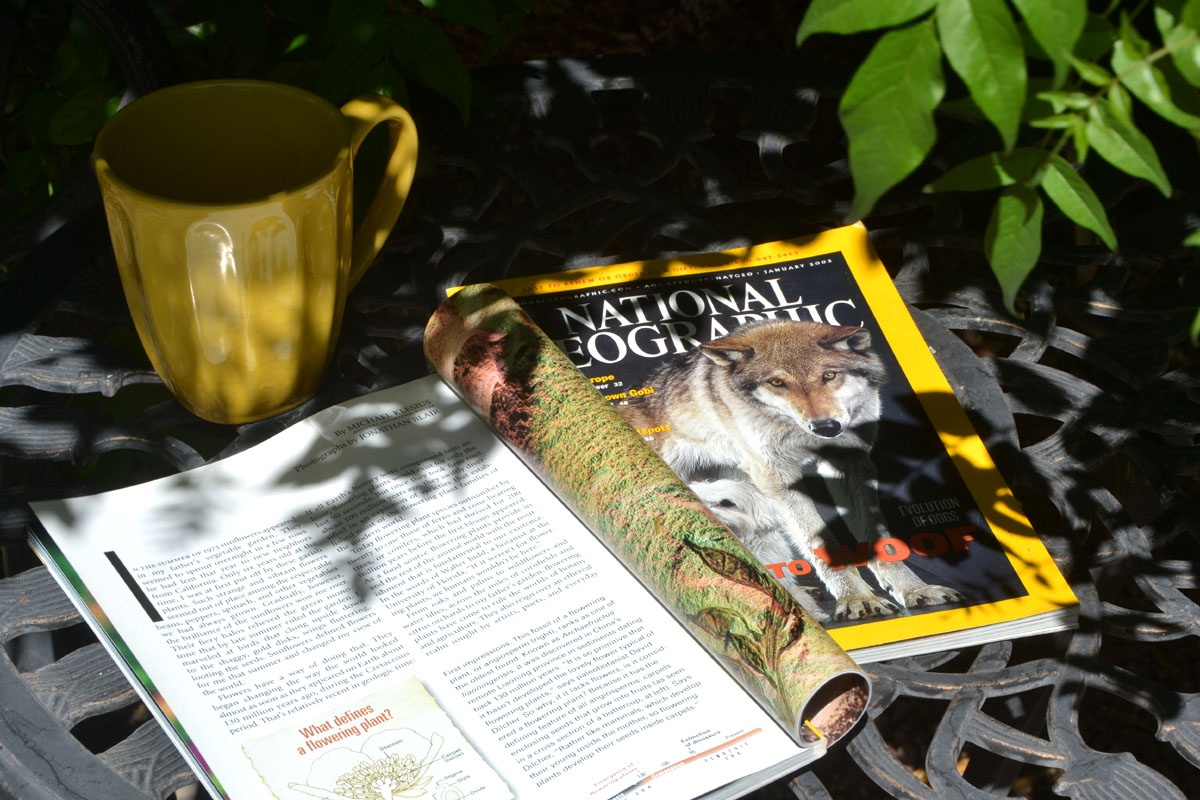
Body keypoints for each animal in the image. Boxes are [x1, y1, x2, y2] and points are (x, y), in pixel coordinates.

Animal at [622, 319, 962, 621]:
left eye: (829, 375)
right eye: (777, 382)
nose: (825, 427)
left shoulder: (850, 462)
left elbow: (877, 537)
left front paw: (914, 591)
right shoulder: (777, 476)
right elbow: (818, 542)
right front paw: (856, 599)